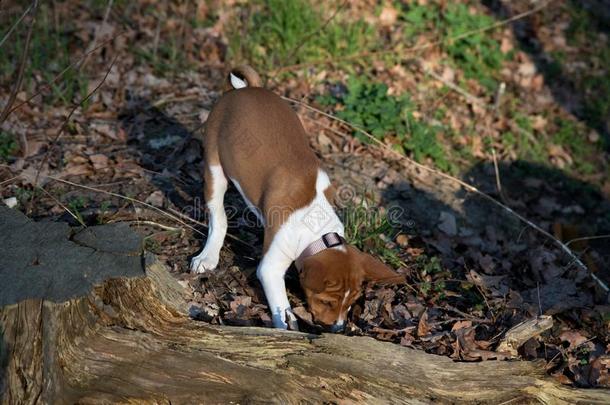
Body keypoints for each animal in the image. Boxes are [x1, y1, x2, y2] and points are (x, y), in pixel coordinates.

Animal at [189, 65, 400, 328]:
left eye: (350, 304)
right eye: (327, 302)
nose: (338, 328)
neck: (319, 230)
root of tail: (244, 90)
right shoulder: (270, 268)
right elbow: (282, 309)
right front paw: (287, 328)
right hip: (215, 169)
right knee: (218, 216)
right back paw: (207, 256)